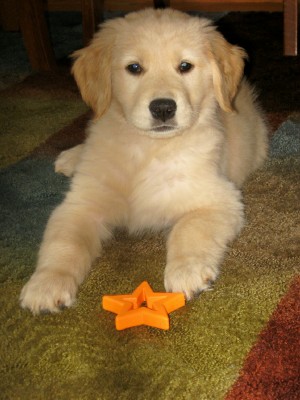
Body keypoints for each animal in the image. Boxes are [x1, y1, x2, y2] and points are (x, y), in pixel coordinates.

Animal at [20, 8, 268, 312]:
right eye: (134, 68)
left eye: (185, 66)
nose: (163, 108)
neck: (147, 150)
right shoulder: (82, 204)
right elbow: (64, 242)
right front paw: (46, 284)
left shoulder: (219, 198)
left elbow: (189, 229)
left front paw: (186, 271)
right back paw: (70, 158)